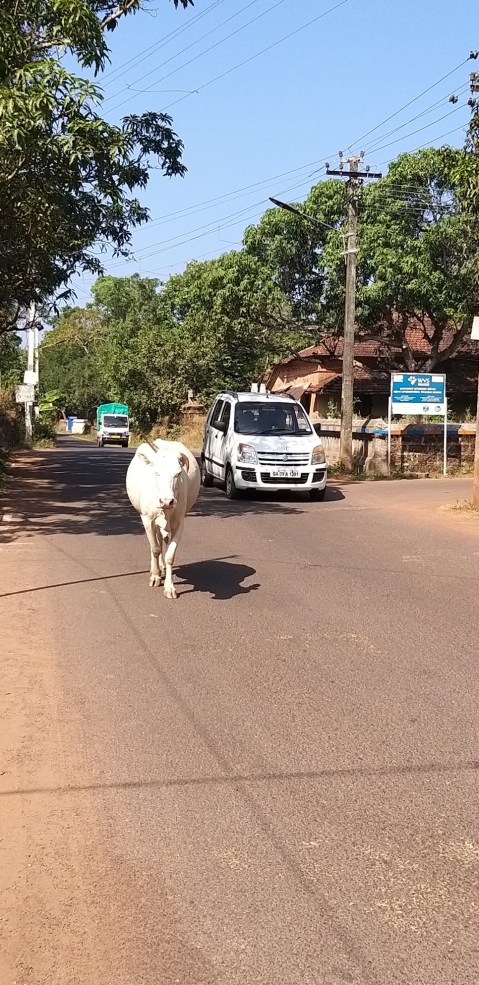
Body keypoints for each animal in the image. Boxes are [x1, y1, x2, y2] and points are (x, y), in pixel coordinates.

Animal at [126, 438, 200, 600]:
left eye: (178, 473)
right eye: (156, 473)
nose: (167, 501)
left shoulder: (179, 523)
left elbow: (170, 555)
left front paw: (169, 587)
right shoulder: (147, 520)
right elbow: (155, 549)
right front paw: (155, 576)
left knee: (163, 540)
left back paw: (162, 567)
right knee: (156, 544)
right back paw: (157, 568)